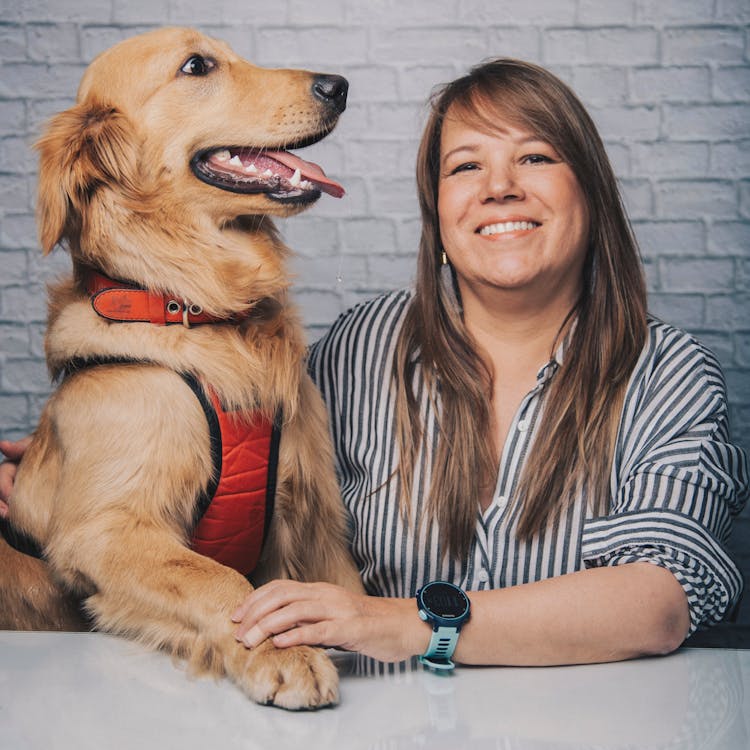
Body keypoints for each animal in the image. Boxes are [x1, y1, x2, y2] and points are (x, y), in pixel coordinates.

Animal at [0, 27, 364, 712]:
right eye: (196, 66)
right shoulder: (102, 531)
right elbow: (218, 580)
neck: (195, 311)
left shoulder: (315, 519)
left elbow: (346, 590)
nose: (339, 85)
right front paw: (282, 651)